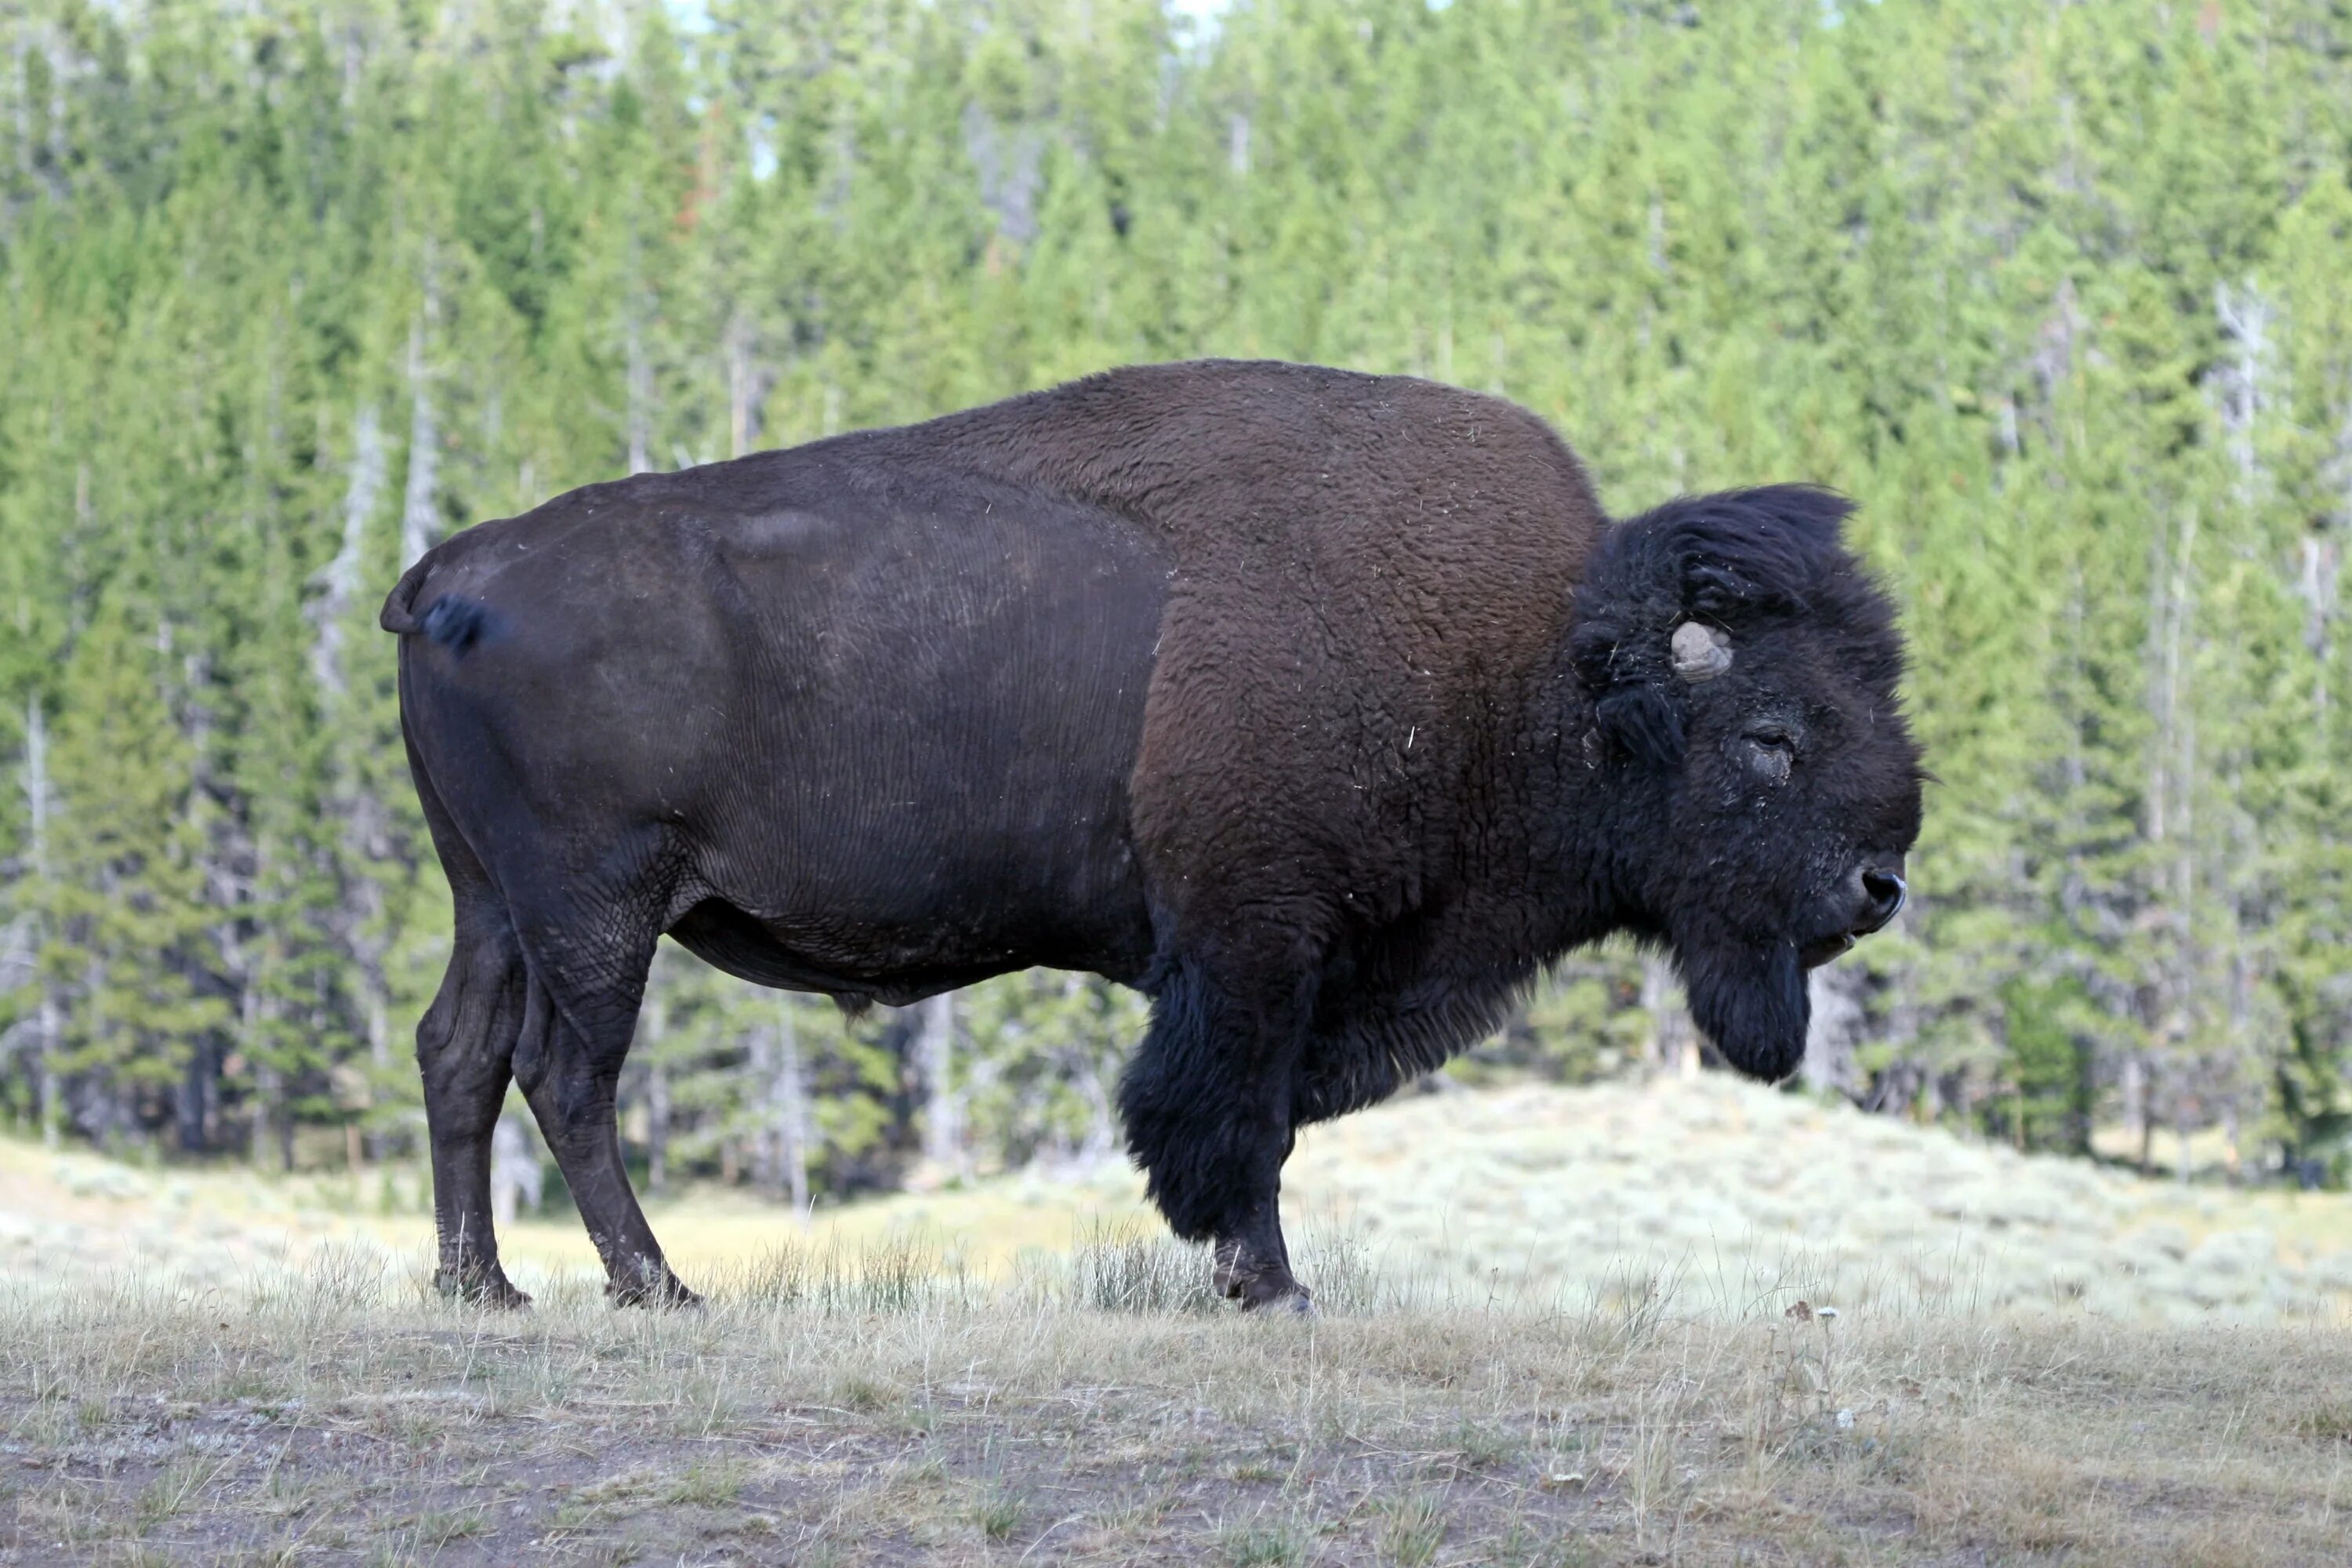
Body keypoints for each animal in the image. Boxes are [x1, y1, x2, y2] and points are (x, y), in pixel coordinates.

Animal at [386, 359, 1919, 1316]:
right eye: (1773, 737)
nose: (1880, 883)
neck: (1541, 662)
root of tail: (453, 566)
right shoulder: (1256, 952)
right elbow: (1238, 1125)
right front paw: (1274, 1288)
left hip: (492, 902)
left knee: (460, 1052)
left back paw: (486, 1288)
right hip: (600, 904)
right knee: (567, 1077)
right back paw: (659, 1289)